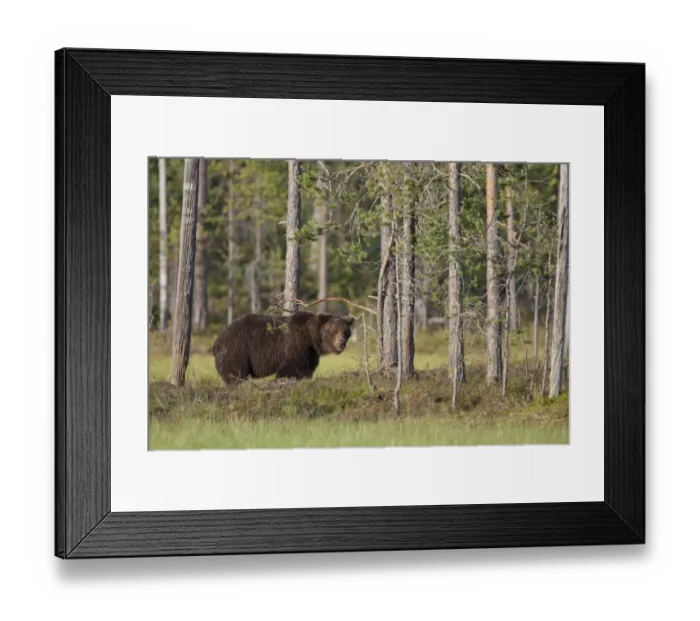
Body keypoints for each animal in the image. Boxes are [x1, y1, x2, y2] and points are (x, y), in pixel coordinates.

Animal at [212, 311, 355, 385]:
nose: (341, 342)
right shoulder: (296, 343)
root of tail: (219, 338)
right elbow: (291, 368)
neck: (310, 337)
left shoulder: (310, 352)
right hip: (238, 350)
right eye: (334, 331)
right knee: (236, 374)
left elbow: (306, 368)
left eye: (345, 331)